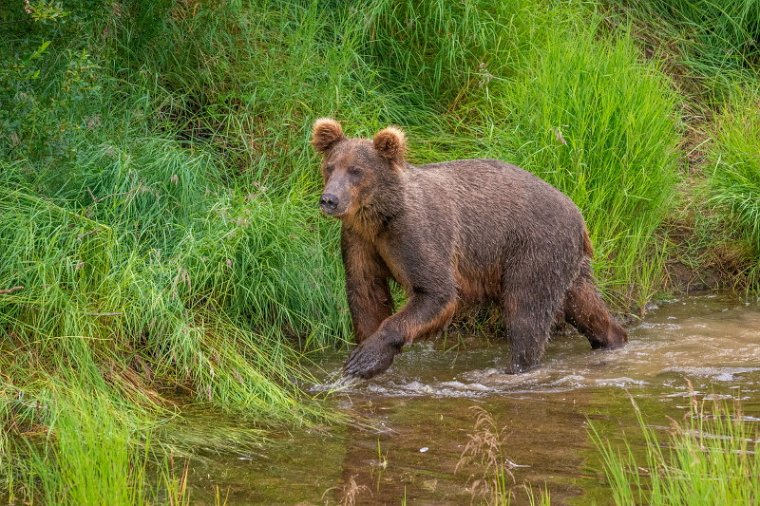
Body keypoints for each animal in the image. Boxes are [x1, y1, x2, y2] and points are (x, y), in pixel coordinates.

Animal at [312, 119, 628, 380]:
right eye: (330, 166)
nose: (329, 199)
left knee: (526, 311)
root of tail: (579, 215)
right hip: (567, 261)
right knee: (586, 305)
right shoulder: (360, 241)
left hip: (533, 247)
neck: (379, 217)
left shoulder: (416, 234)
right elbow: (366, 293)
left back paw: (516, 367)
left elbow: (436, 292)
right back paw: (614, 339)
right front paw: (366, 355)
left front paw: (364, 359)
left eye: (356, 171)